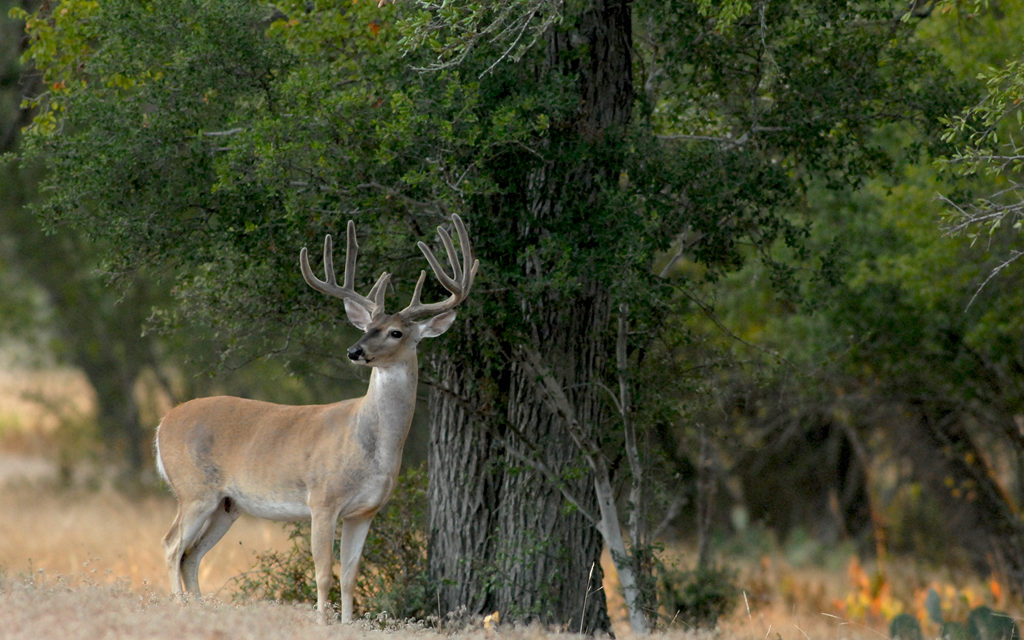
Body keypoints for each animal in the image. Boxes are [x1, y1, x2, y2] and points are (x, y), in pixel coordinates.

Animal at [153, 211, 477, 622]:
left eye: (395, 332)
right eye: (365, 327)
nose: (355, 351)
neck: (372, 445)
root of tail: (162, 423)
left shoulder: (365, 511)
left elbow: (350, 576)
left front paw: (348, 623)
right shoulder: (322, 499)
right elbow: (323, 573)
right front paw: (324, 622)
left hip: (227, 504)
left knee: (191, 555)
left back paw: (200, 611)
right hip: (194, 489)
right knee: (170, 545)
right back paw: (181, 607)